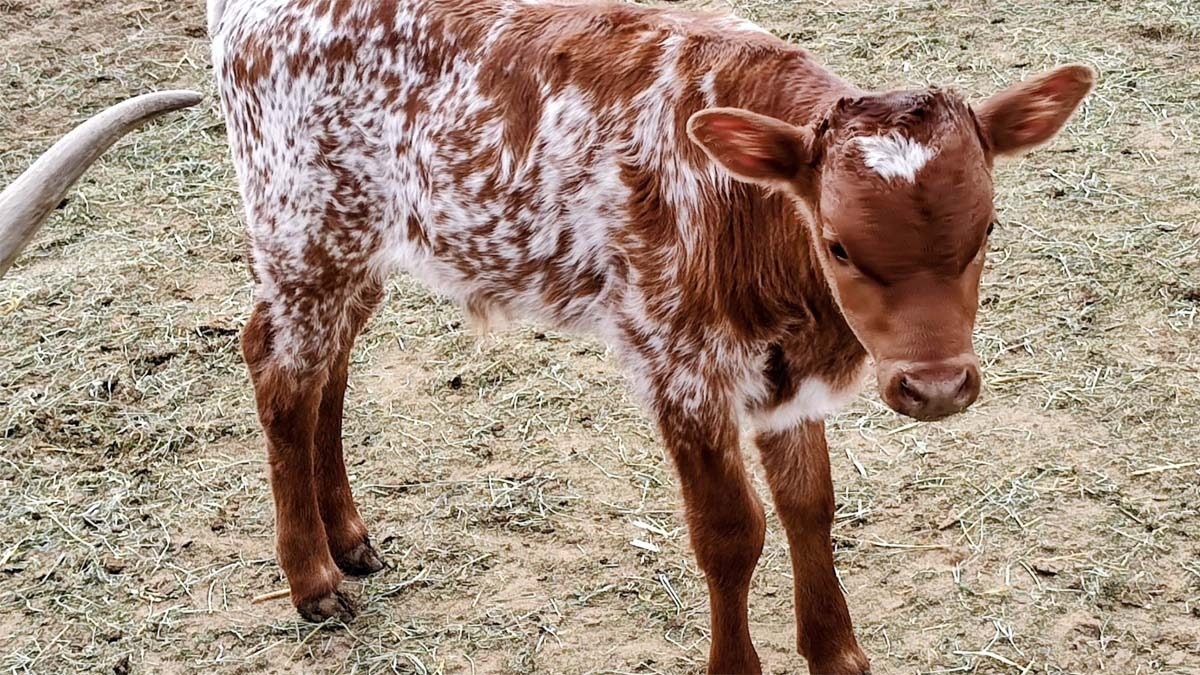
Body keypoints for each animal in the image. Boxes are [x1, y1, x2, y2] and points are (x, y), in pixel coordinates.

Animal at [200, 0, 1094, 672]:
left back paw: (349, 536)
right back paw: (311, 574)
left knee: (329, 366)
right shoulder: (679, 363)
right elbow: (733, 533)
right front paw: (736, 666)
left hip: (364, 241)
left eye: (985, 229)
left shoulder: (784, 371)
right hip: (301, 226)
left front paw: (838, 653)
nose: (936, 385)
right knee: (278, 369)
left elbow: (810, 504)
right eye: (838, 243)